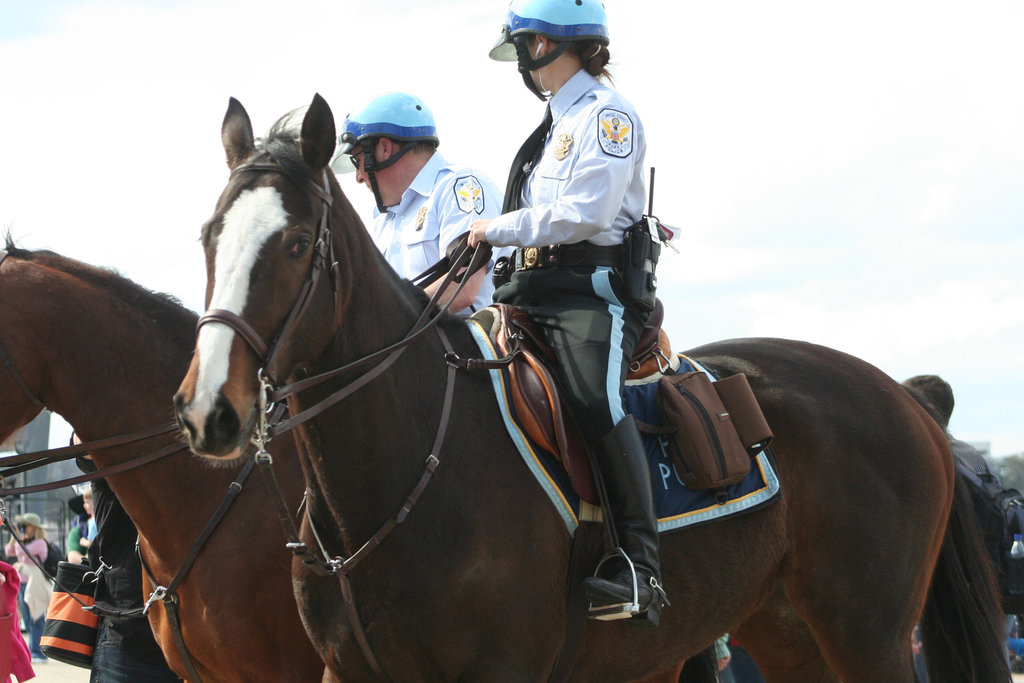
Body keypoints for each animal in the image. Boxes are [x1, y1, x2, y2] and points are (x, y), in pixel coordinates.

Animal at [176, 97, 1007, 683]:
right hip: (788, 634)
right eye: (209, 237)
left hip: (870, 638)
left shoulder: (500, 670)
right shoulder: (348, 671)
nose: (210, 410)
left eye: (293, 243)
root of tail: (904, 398)